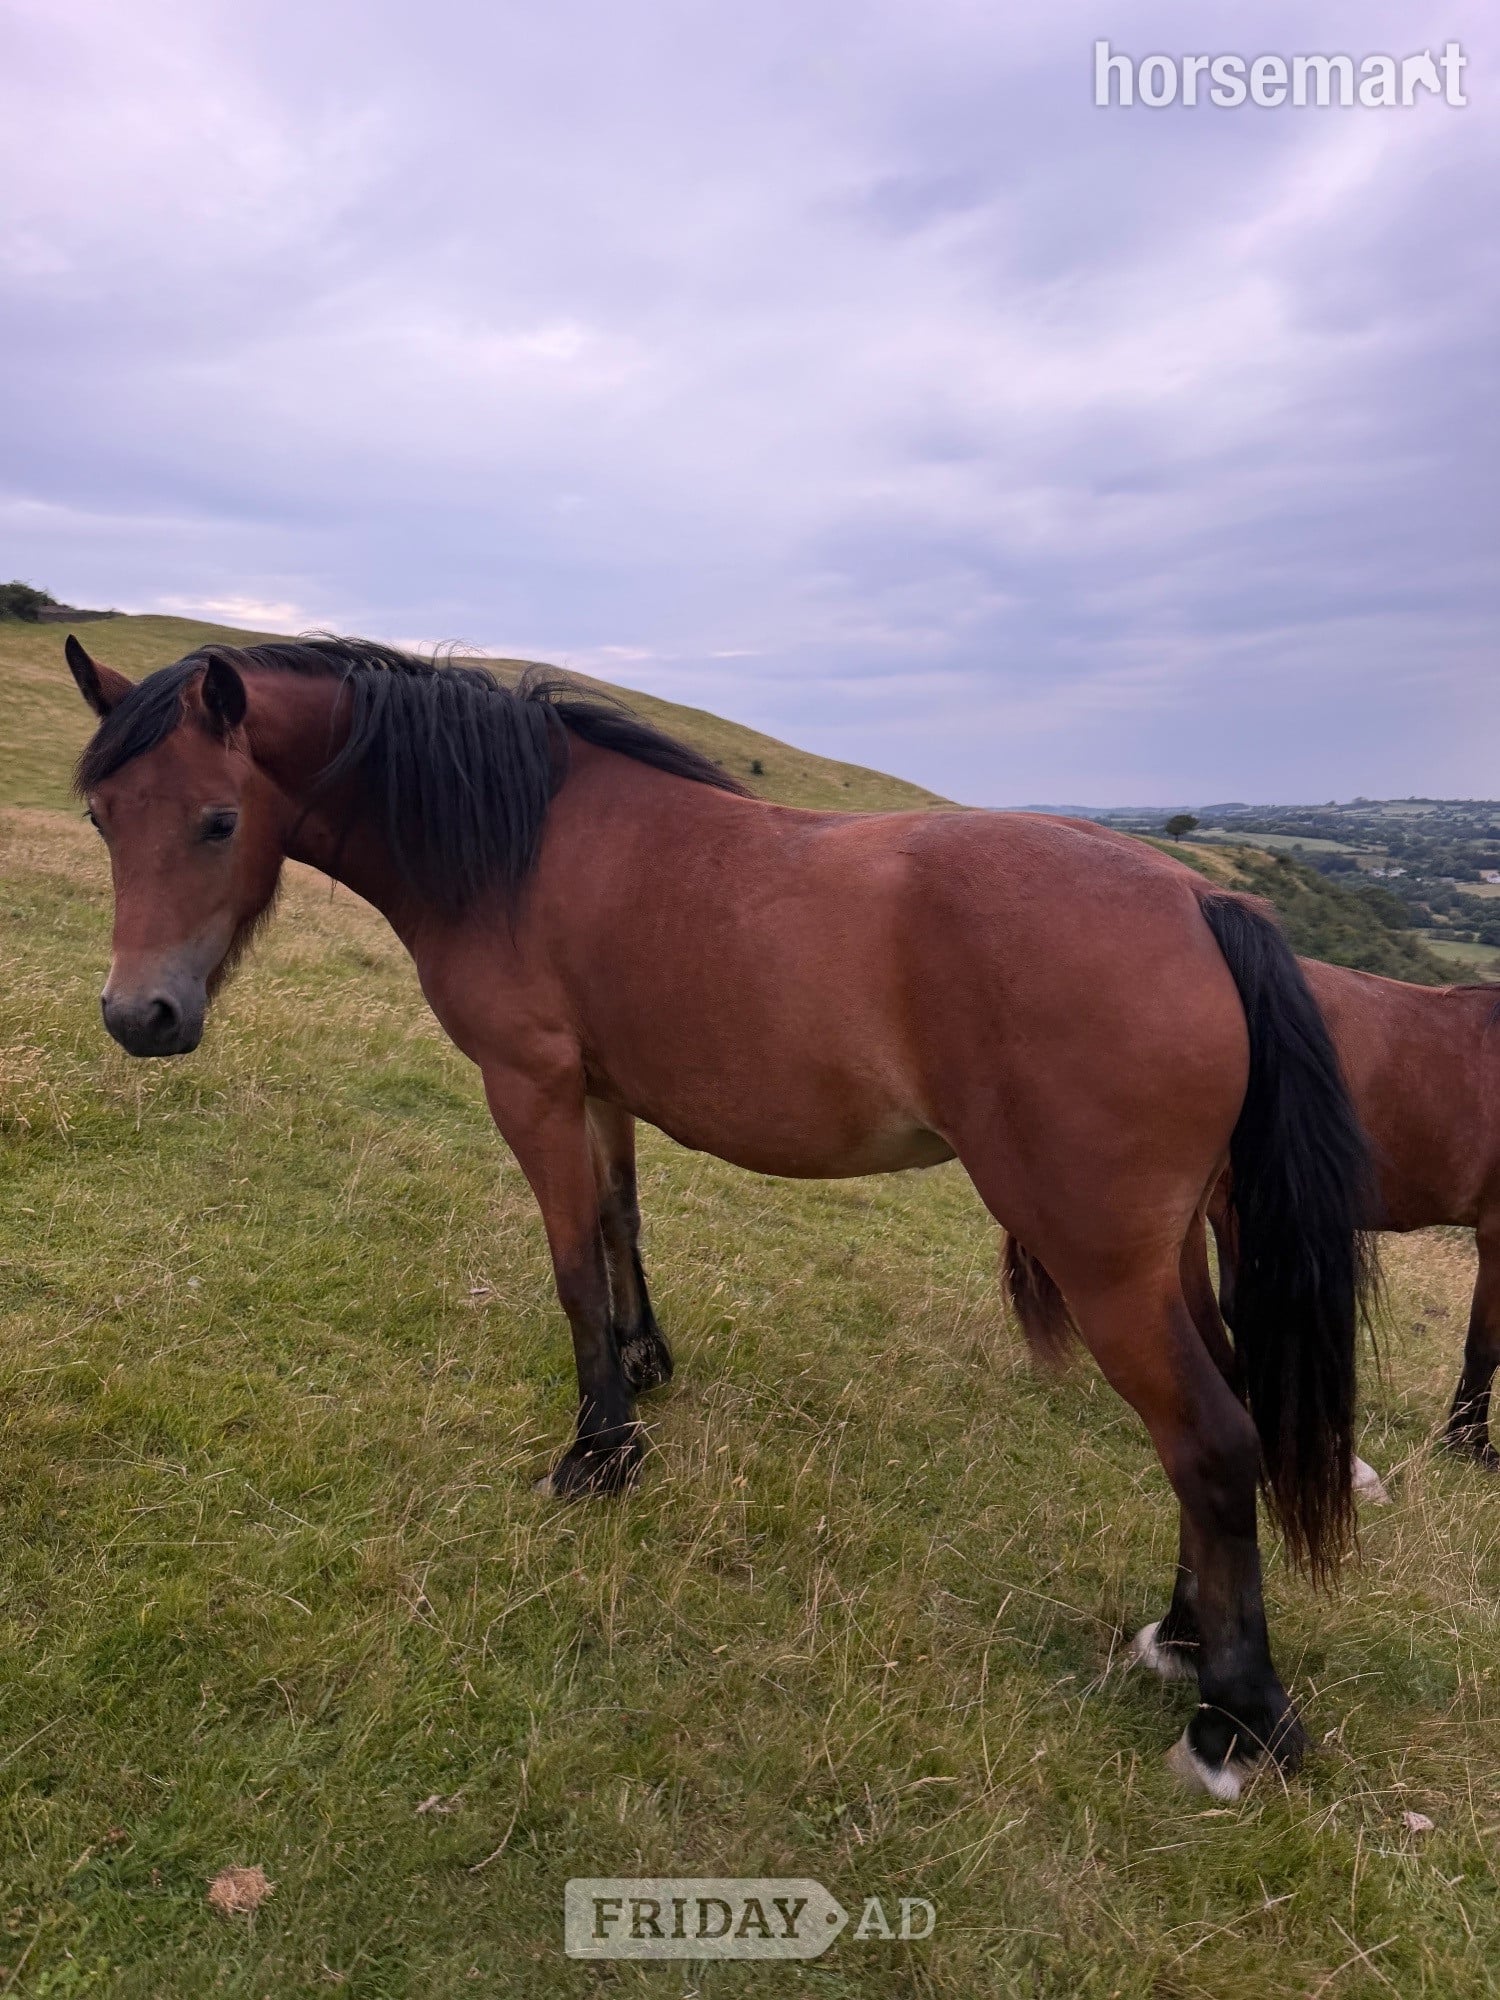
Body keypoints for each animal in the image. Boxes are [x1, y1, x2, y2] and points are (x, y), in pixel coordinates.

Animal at [63, 631, 1375, 1800]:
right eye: (104, 818)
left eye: (217, 820)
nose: (139, 1016)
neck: (518, 841)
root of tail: (1202, 901)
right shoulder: (598, 1088)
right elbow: (618, 1224)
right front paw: (645, 1368)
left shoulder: (529, 1086)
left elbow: (568, 1262)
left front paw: (598, 1450)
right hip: (1167, 1252)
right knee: (1225, 1408)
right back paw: (1183, 1634)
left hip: (1104, 1261)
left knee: (1210, 1438)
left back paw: (1239, 1721)